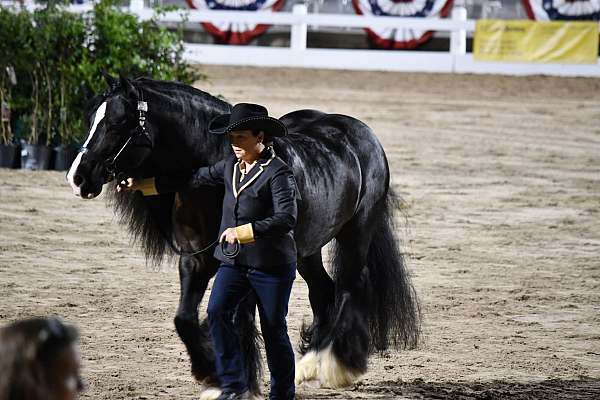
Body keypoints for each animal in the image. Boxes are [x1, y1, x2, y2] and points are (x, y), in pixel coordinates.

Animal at [67, 74, 422, 396]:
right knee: (323, 292)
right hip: (306, 250)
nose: (77, 177)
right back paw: (308, 365)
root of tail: (362, 133)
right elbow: (185, 319)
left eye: (117, 123)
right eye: (91, 118)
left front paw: (239, 382)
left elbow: (239, 321)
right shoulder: (195, 261)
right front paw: (212, 374)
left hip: (356, 233)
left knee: (350, 287)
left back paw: (333, 365)